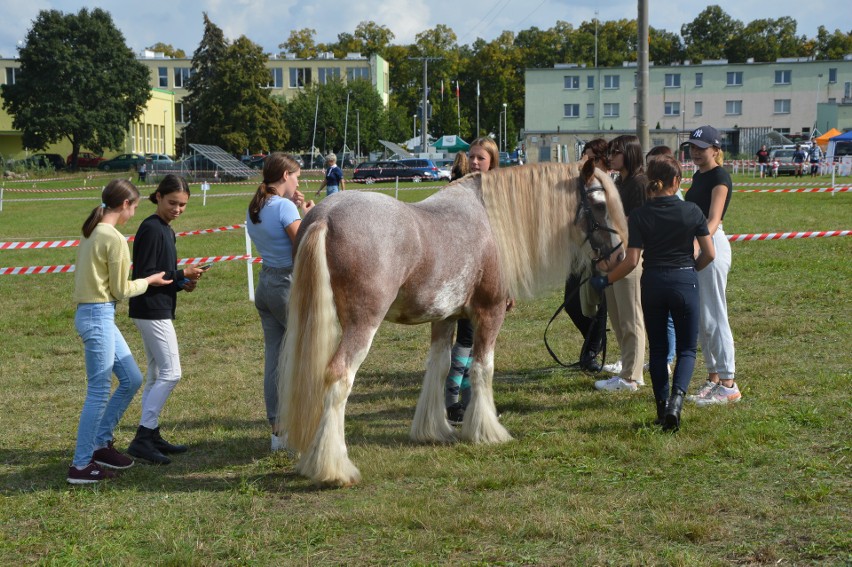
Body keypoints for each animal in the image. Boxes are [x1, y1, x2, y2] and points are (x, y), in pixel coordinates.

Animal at [278, 161, 624, 488]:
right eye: (598, 203)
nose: (618, 256)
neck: (488, 219)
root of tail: (326, 215)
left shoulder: (444, 317)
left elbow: (441, 366)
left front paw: (433, 430)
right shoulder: (490, 312)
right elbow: (482, 368)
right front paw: (488, 432)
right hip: (363, 324)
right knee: (339, 376)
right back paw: (335, 469)